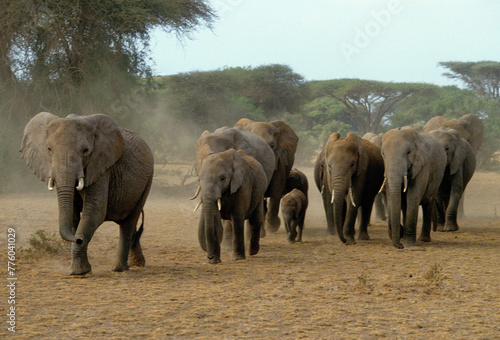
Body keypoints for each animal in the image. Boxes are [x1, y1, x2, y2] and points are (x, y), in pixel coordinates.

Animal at [19, 113, 153, 274]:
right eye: (49, 149)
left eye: (85, 150)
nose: (78, 239)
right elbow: (72, 215)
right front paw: (76, 271)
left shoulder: (101, 167)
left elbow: (94, 211)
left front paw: (79, 271)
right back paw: (135, 264)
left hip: (147, 181)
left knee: (129, 222)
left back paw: (120, 268)